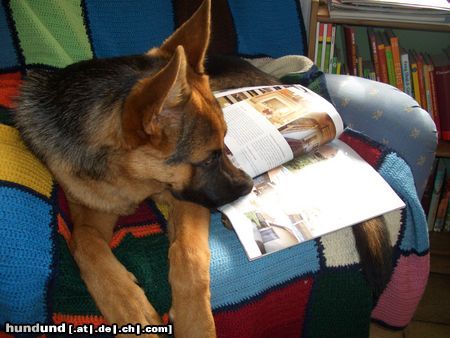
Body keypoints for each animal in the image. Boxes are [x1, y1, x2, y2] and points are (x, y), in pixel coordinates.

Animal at [14, 0, 390, 336]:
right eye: (208, 158)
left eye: (224, 143)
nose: (247, 186)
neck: (132, 180)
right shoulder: (93, 209)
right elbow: (84, 242)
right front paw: (128, 305)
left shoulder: (186, 200)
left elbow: (189, 256)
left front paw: (194, 322)